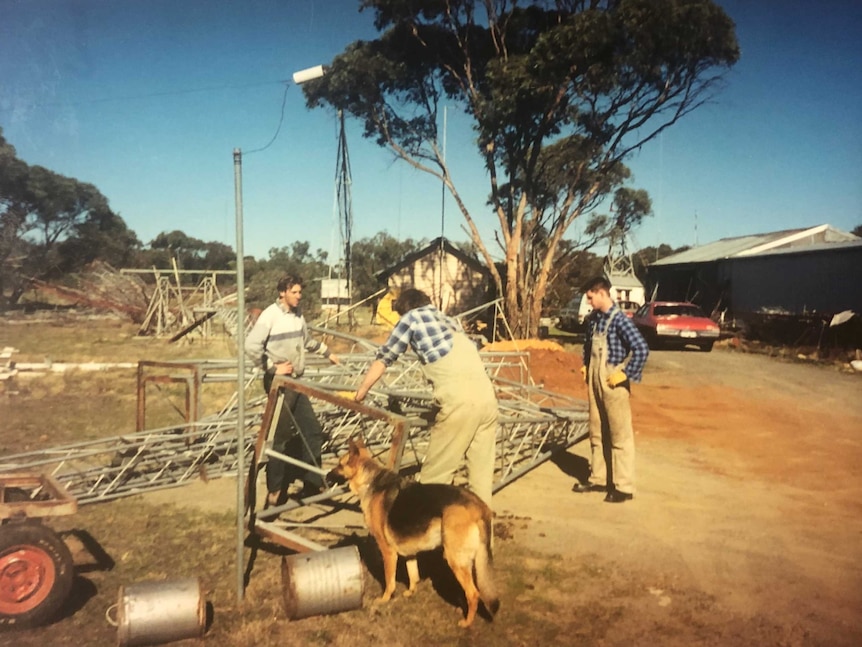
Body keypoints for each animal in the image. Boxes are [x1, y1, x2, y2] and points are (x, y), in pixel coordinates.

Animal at [330, 436, 500, 628]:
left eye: (340, 464)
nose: (327, 476)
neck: (370, 481)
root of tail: (479, 506)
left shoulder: (388, 552)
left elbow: (389, 580)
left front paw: (385, 599)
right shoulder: (410, 553)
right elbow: (413, 575)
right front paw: (411, 592)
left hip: (455, 559)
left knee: (473, 593)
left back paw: (466, 622)